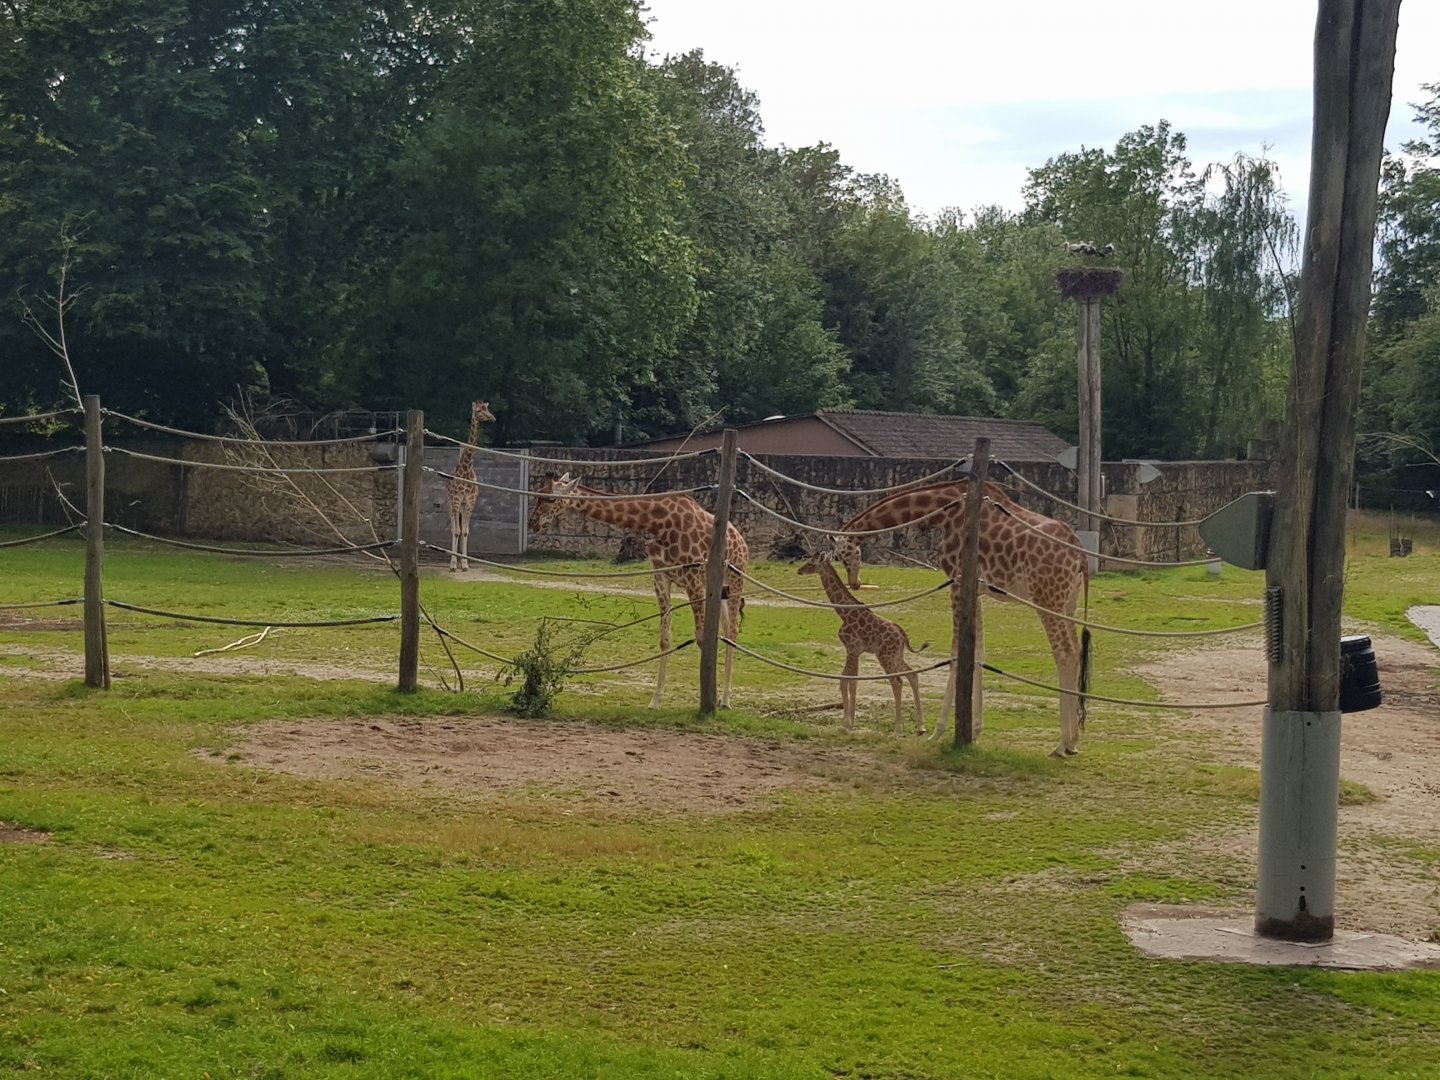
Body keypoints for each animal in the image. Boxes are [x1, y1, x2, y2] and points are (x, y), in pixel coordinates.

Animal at [446, 400, 496, 571]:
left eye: (487, 408)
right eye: (479, 410)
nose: (493, 418)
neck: (466, 469)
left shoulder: (470, 500)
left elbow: (466, 531)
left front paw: (465, 564)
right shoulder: (456, 499)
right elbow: (456, 531)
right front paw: (453, 565)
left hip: (462, 505)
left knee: (461, 528)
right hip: (451, 503)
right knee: (453, 528)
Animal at [527, 473, 749, 709]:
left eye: (550, 499)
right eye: (539, 494)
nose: (532, 523)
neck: (660, 523)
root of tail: (742, 541)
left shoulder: (693, 578)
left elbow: (700, 638)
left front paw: (707, 701)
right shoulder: (661, 576)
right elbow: (665, 638)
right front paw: (656, 700)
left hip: (736, 579)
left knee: (733, 629)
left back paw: (725, 699)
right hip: (719, 588)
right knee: (726, 627)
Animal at [798, 551, 927, 734]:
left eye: (810, 563)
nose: (799, 570)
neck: (843, 613)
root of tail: (902, 634)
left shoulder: (851, 648)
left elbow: (847, 681)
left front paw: (847, 722)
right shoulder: (855, 651)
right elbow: (851, 680)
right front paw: (850, 721)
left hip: (885, 655)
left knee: (897, 681)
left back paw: (898, 728)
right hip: (896, 655)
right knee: (912, 674)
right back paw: (921, 726)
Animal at [841, 479, 1090, 756]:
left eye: (844, 554)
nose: (855, 583)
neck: (942, 510)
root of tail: (1080, 555)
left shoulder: (956, 581)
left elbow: (955, 655)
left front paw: (937, 732)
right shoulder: (977, 588)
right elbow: (978, 653)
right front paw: (975, 731)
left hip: (1047, 598)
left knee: (1065, 652)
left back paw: (1061, 743)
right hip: (1068, 602)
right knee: (1077, 649)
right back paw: (1074, 741)